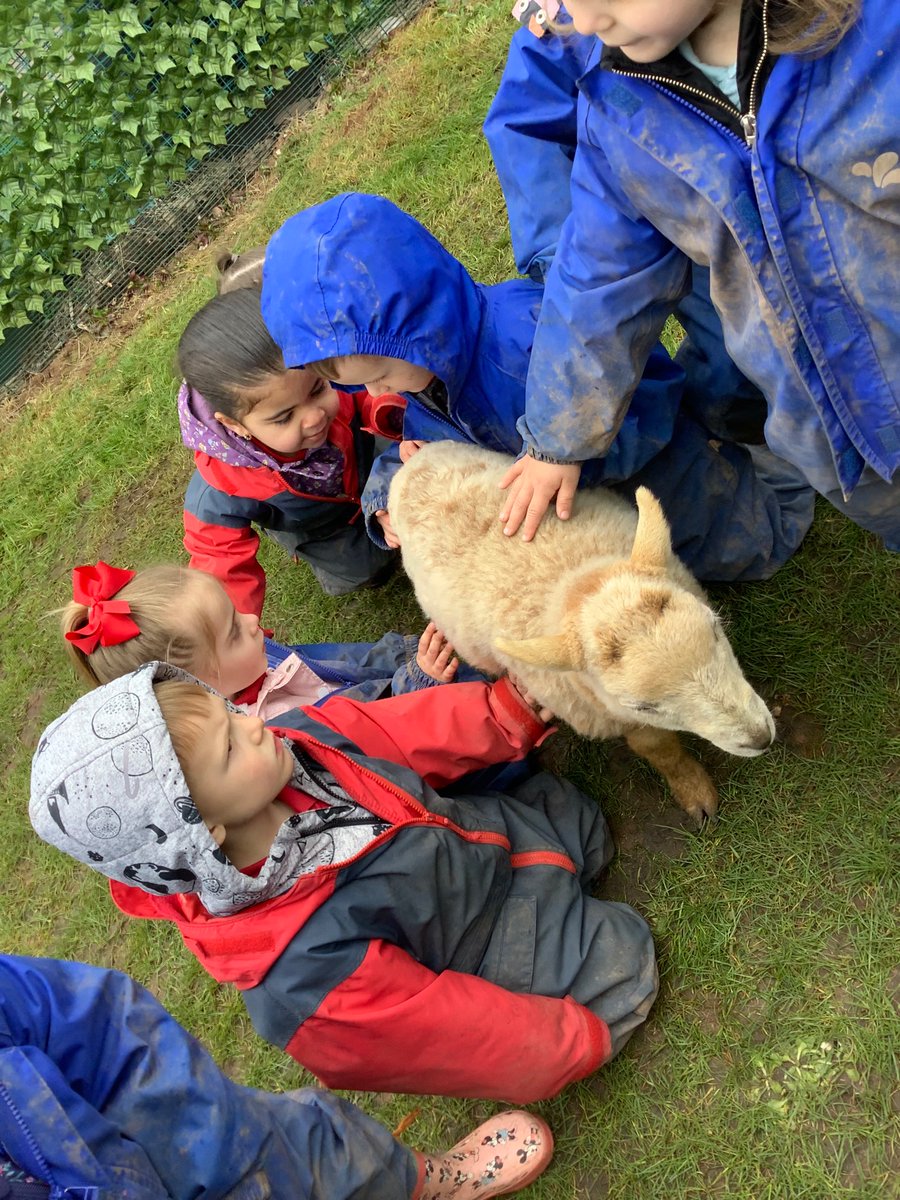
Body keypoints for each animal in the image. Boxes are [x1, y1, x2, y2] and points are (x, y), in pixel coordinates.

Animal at [388, 441, 775, 824]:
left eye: (716, 629)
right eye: (644, 706)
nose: (760, 738)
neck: (577, 582)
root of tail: (414, 464)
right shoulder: (610, 712)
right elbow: (657, 747)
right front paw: (692, 787)